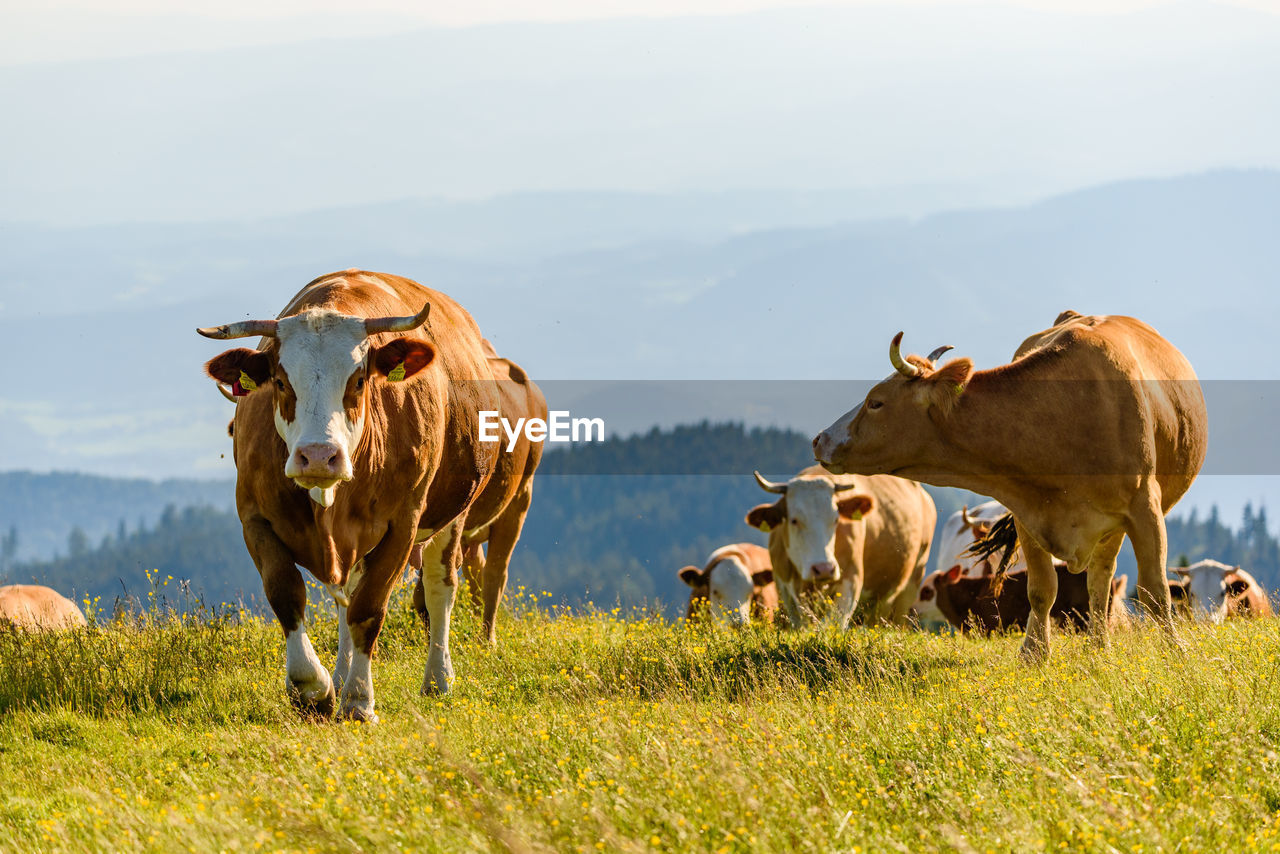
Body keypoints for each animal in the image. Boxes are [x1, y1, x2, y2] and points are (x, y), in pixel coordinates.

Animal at [197, 268, 506, 722]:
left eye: (359, 381)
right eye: (280, 382)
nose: (318, 456)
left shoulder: (402, 524)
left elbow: (369, 608)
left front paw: (359, 700)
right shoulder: (254, 517)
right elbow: (286, 593)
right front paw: (314, 687)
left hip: (451, 515)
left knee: (439, 587)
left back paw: (438, 679)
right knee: (347, 592)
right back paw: (341, 675)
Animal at [742, 468, 931, 627]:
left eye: (836, 519)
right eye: (794, 520)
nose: (824, 569)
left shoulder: (851, 581)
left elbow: (830, 625)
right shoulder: (784, 587)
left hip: (910, 584)